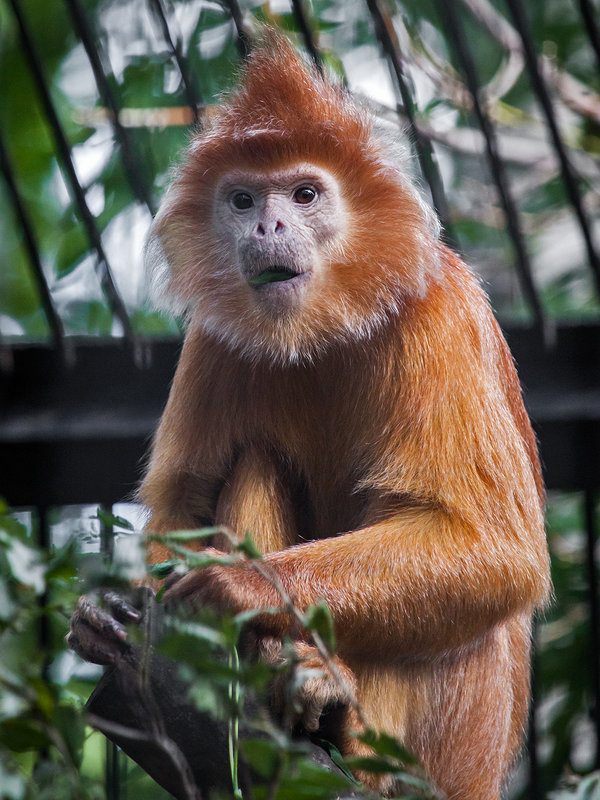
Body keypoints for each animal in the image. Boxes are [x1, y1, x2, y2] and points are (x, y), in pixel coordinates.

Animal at [68, 31, 552, 800]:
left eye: (304, 194)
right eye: (243, 200)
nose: (268, 223)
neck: (323, 332)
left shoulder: (440, 312)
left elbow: (496, 551)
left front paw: (239, 584)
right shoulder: (215, 340)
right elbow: (181, 507)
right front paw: (102, 616)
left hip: (453, 751)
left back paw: (339, 714)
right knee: (253, 461)